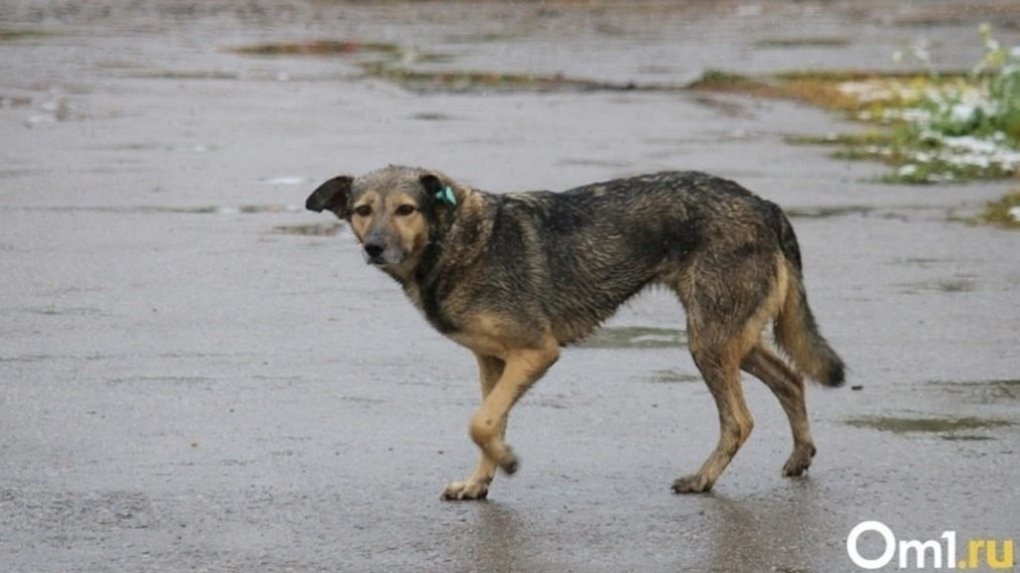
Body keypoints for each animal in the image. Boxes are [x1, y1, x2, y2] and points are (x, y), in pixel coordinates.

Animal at [303, 164, 844, 495]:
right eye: (362, 210)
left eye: (405, 209)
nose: (374, 247)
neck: (456, 240)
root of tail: (764, 203)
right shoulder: (493, 363)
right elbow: (489, 422)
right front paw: (481, 481)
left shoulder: (536, 352)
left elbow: (480, 423)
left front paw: (508, 462)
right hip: (730, 338)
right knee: (790, 379)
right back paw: (800, 456)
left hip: (709, 341)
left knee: (740, 420)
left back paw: (702, 479)